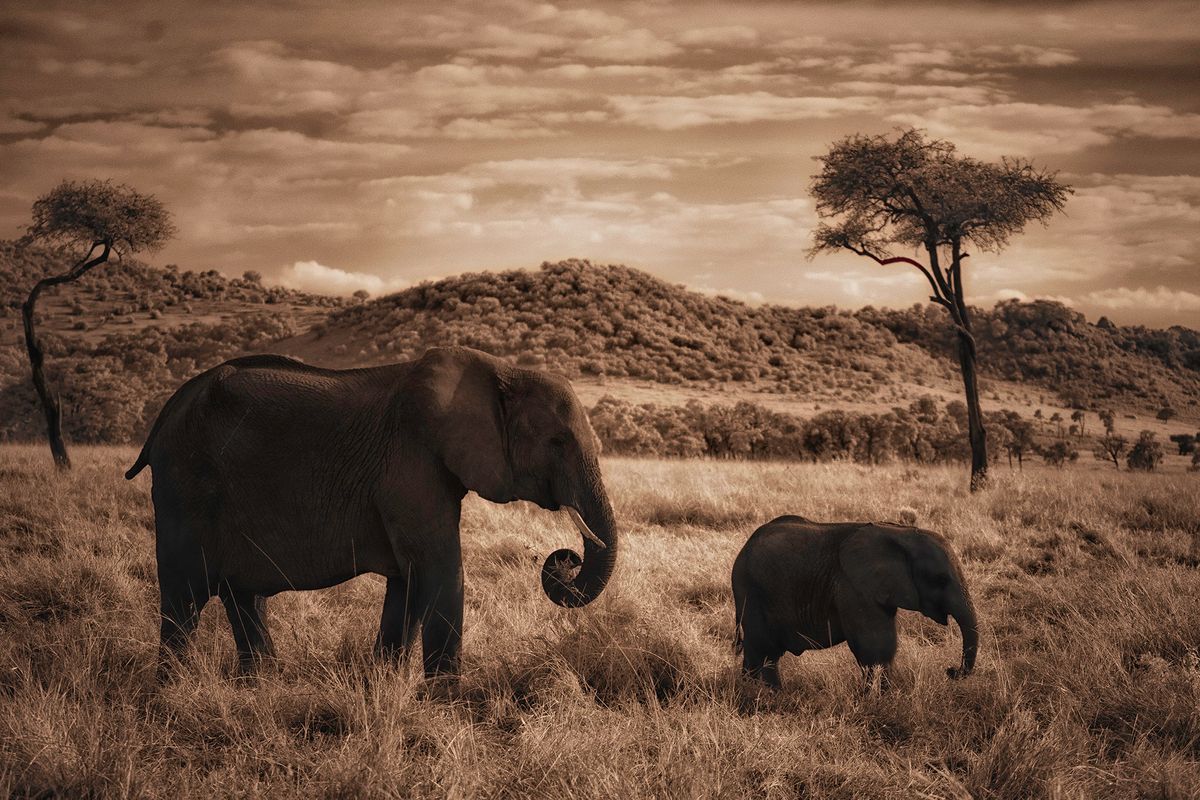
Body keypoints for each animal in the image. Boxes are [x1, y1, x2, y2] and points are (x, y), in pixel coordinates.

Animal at [126, 347, 619, 681]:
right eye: (558, 442)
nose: (564, 560)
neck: (503, 370)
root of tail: (167, 413)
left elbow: (408, 583)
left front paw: (383, 686)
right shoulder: (409, 464)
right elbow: (442, 573)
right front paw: (448, 708)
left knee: (241, 596)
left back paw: (260, 685)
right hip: (185, 485)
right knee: (183, 597)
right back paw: (172, 693)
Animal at [729, 520, 974, 690]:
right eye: (940, 579)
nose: (951, 670)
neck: (903, 533)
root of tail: (744, 547)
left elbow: (884, 648)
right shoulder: (853, 589)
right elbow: (874, 646)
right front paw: (873, 699)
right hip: (751, 592)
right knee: (764, 652)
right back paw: (771, 695)